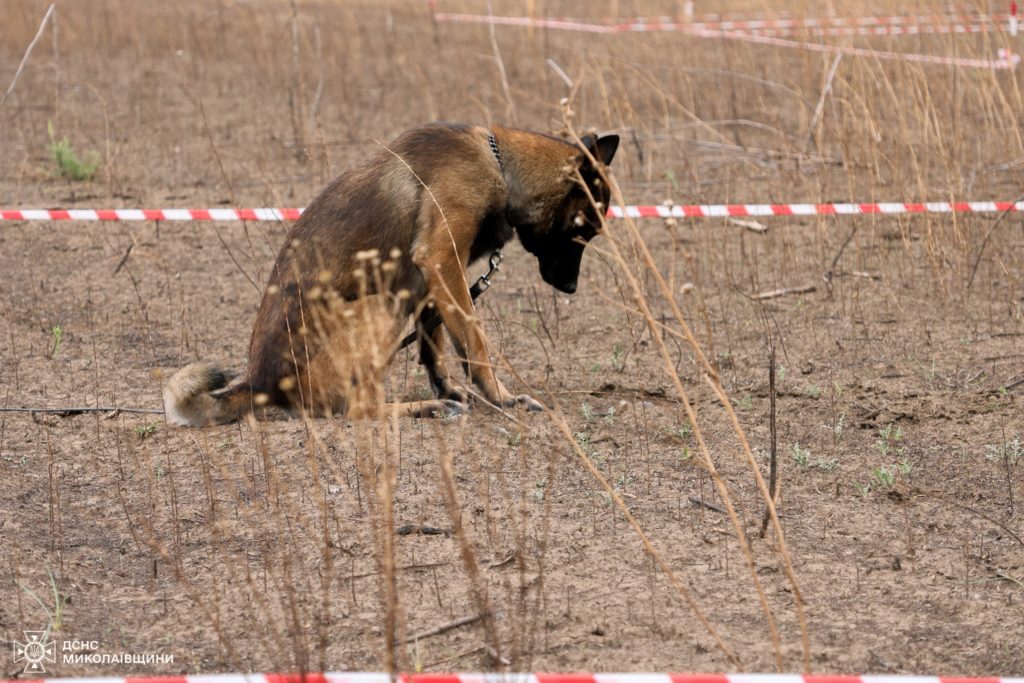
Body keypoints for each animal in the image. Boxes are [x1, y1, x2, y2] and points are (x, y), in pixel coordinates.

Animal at [163, 121, 618, 421]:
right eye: (584, 231)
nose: (571, 287)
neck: (499, 165)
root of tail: (260, 384)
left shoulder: (431, 279)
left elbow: (435, 344)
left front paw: (450, 385)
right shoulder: (442, 261)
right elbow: (474, 341)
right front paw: (500, 395)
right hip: (382, 305)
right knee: (359, 410)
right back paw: (423, 407)